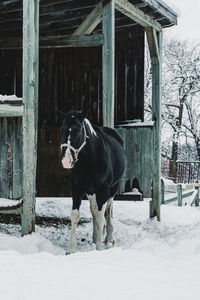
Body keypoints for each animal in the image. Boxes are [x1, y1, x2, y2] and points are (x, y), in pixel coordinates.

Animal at [59, 110, 125, 253]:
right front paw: (70, 249)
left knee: (108, 209)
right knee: (94, 209)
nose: (66, 161)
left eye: (78, 130)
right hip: (90, 191)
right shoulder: (77, 187)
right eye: (62, 129)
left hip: (113, 188)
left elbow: (101, 218)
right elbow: (75, 216)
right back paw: (95, 238)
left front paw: (99, 248)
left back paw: (108, 238)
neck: (91, 159)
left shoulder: (104, 190)